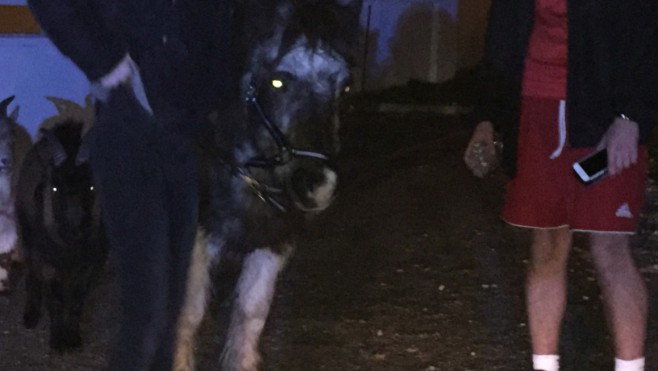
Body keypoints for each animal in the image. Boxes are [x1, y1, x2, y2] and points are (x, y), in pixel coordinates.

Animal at [17, 121, 106, 354]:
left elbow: (77, 299)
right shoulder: (50, 262)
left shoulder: (90, 263)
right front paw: (58, 340)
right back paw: (31, 315)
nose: (77, 227)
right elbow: (55, 300)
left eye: (91, 186)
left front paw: (73, 337)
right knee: (32, 273)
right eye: (55, 187)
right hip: (29, 239)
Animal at [172, 1, 362, 370]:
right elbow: (188, 316)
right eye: (277, 81)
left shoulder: (273, 244)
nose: (319, 186)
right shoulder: (197, 239)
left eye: (345, 87)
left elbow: (250, 315)